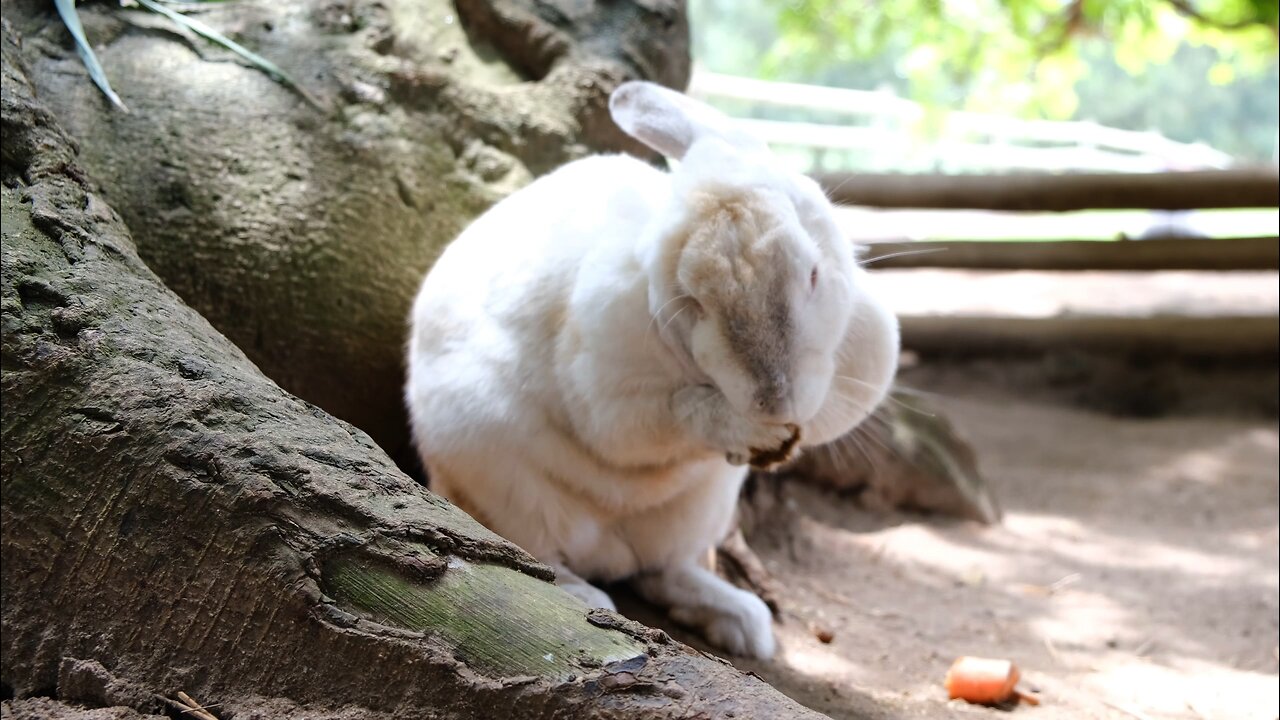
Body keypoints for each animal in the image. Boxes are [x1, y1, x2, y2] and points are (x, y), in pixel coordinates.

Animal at [404, 79, 896, 655]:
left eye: (813, 272)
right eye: (694, 302)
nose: (775, 399)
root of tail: (611, 551)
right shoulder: (610, 393)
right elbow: (662, 418)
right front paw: (749, 429)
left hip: (693, 517)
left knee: (662, 573)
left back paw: (745, 625)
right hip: (508, 490)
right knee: (533, 559)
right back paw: (586, 595)